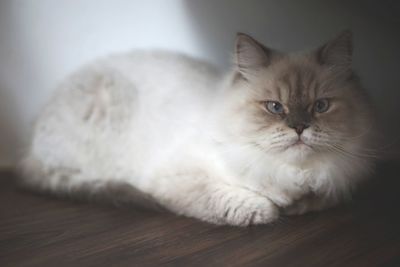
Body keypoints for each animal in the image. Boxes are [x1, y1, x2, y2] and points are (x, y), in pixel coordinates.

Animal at [18, 31, 376, 226]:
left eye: (321, 106)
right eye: (275, 107)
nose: (300, 127)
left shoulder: (334, 184)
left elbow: (316, 200)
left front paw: (297, 205)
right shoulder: (178, 178)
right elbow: (246, 204)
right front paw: (271, 208)